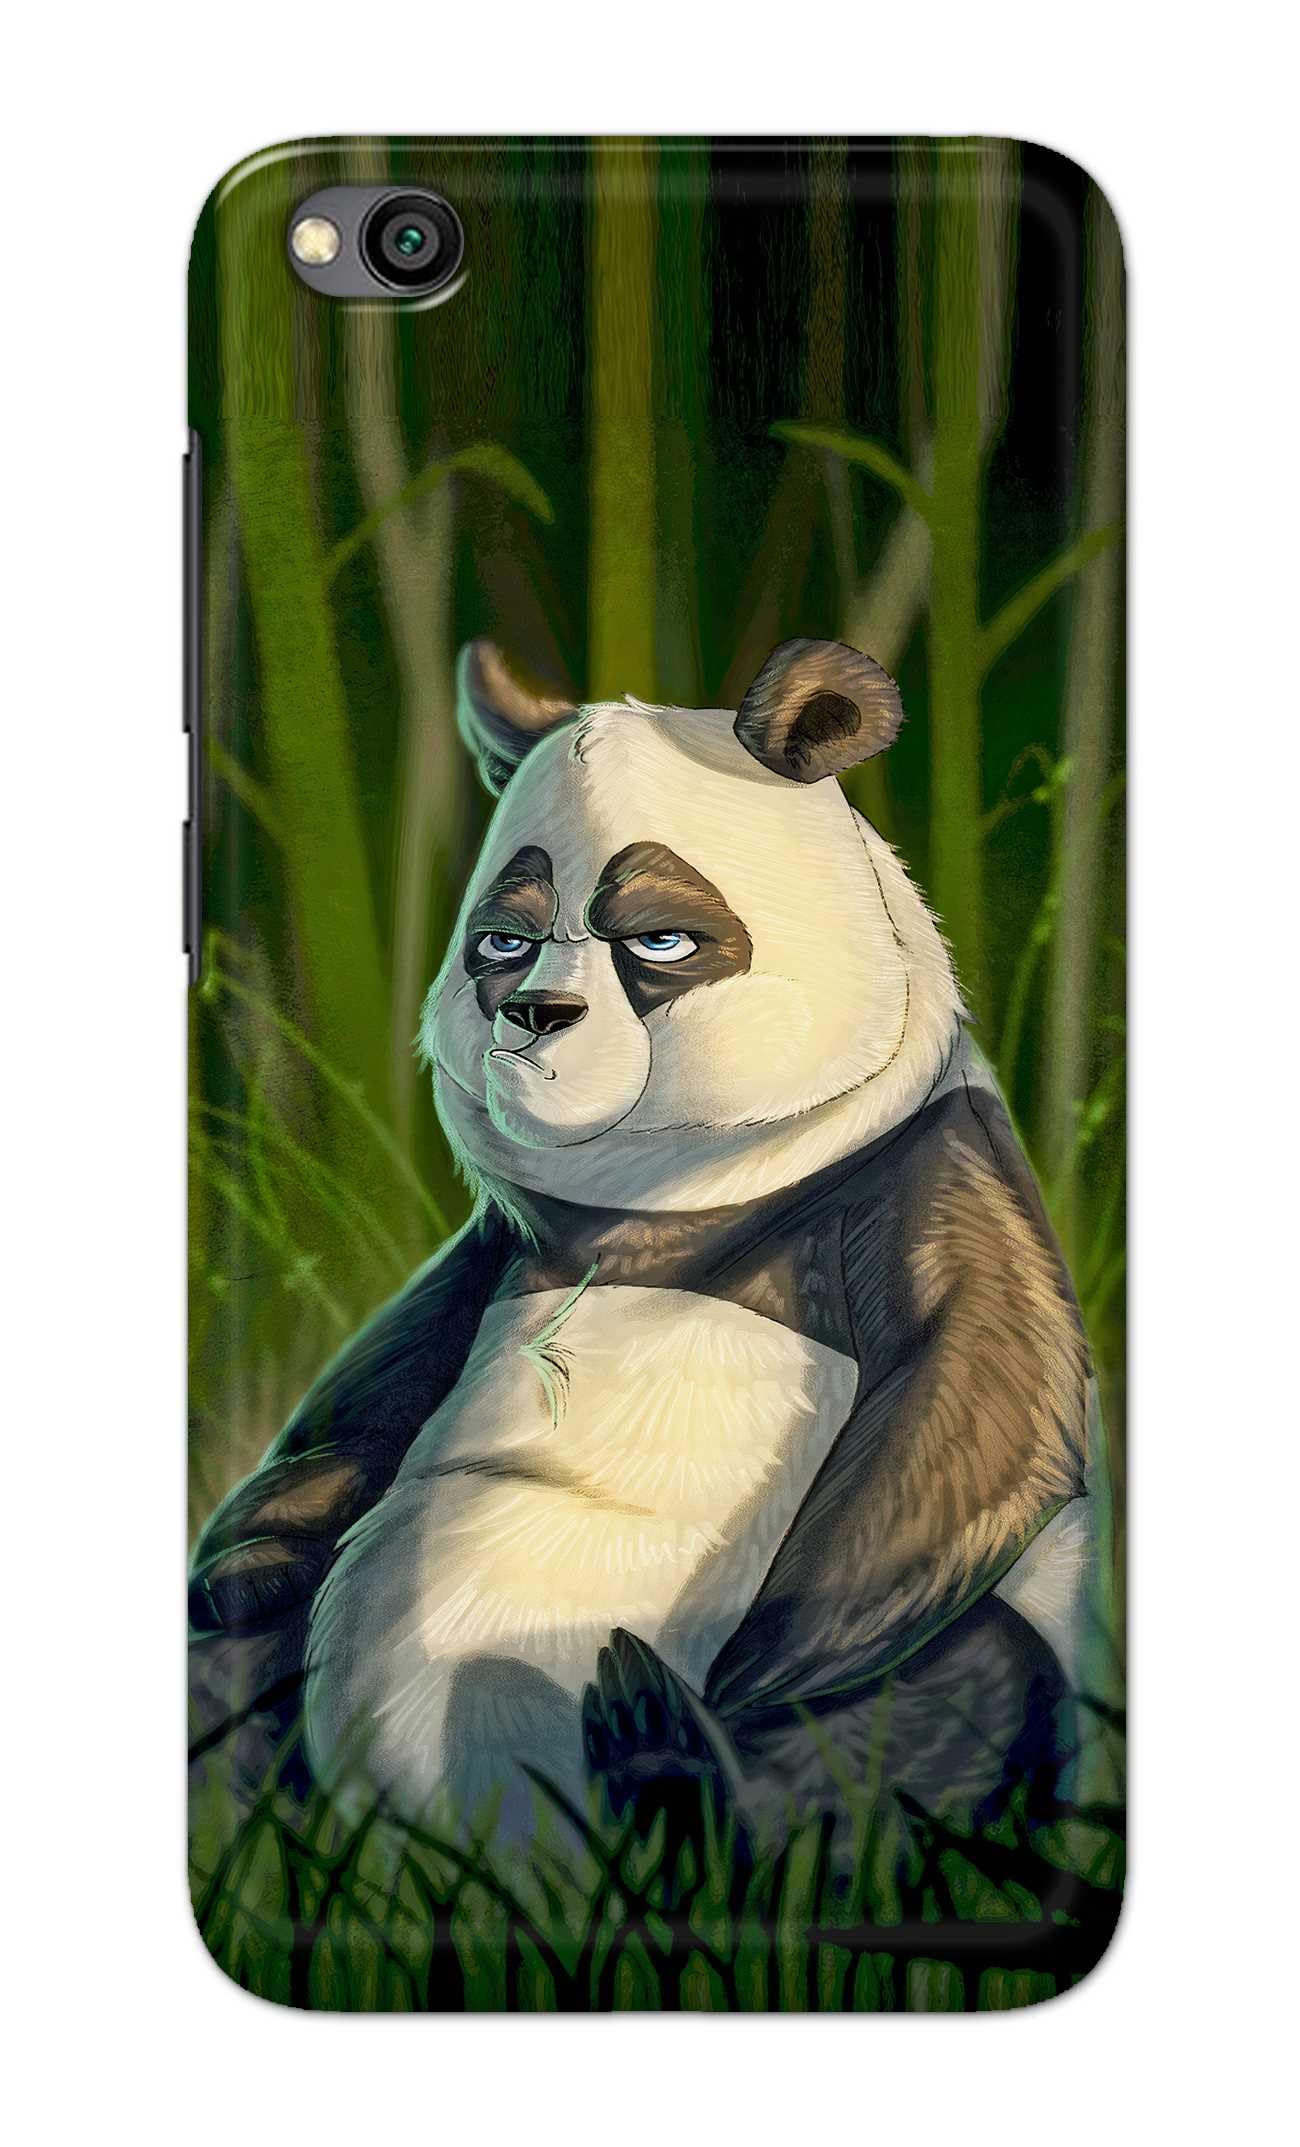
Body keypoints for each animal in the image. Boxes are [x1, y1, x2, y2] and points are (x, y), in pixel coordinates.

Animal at [189, 636, 1093, 1849]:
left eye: (659, 939)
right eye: (504, 942)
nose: (535, 1015)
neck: (660, 1197)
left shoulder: (919, 1167)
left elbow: (980, 1390)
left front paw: (749, 1672)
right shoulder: (497, 1243)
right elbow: (367, 1401)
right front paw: (251, 1553)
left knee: (940, 1703)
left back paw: (671, 1753)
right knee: (225, 1684)